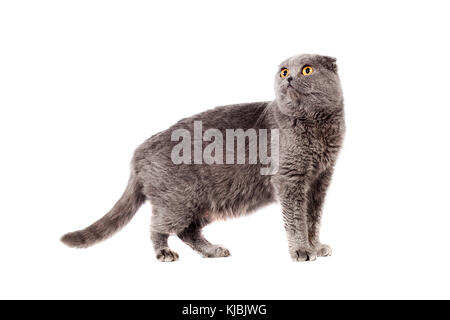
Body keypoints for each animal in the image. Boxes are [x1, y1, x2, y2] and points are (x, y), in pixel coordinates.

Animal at [61, 53, 344, 262]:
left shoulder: (320, 180)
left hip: (207, 201)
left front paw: (315, 246)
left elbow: (312, 218)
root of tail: (139, 152)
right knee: (157, 226)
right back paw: (164, 252)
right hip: (178, 201)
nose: (290, 78)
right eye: (284, 72)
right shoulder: (289, 180)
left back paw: (212, 250)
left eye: (307, 70)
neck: (316, 127)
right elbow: (296, 219)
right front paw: (302, 251)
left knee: (187, 231)